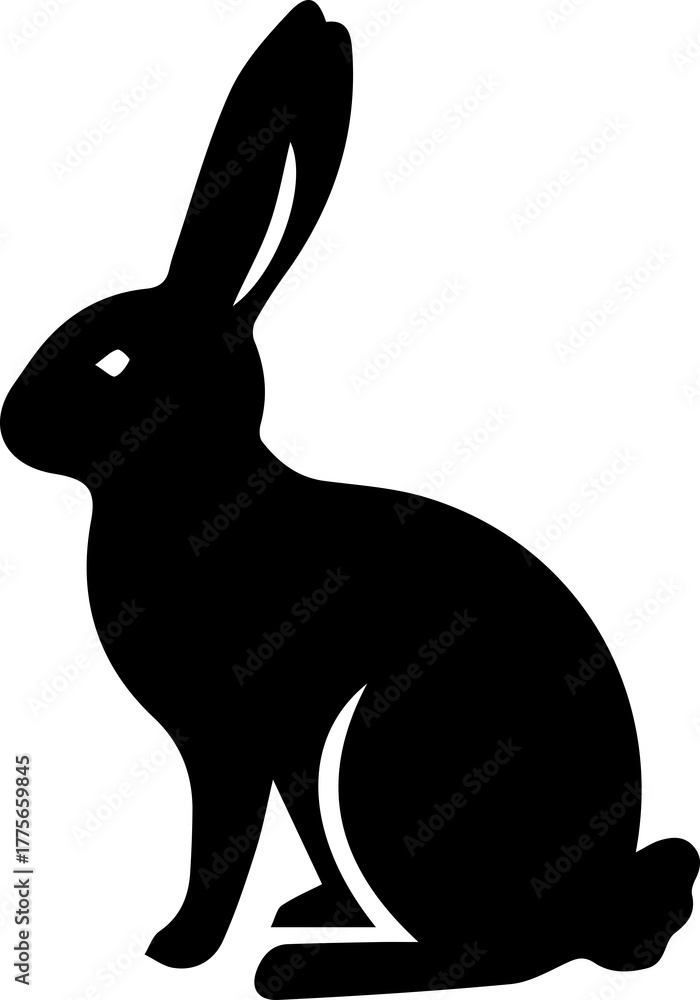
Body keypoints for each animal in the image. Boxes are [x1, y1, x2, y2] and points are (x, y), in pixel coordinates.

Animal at [1, 1, 698, 996]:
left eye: (114, 361)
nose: (8, 423)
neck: (189, 483)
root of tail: (588, 913)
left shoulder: (226, 741)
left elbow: (223, 842)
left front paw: (179, 948)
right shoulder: (281, 744)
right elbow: (288, 824)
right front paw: (308, 912)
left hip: (392, 748)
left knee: (487, 956)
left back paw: (296, 969)